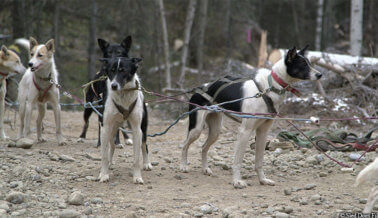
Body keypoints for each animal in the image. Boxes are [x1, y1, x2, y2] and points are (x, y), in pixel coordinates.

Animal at [97, 56, 152, 184]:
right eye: (111, 71)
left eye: (123, 71)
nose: (113, 85)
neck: (123, 96)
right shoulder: (105, 127)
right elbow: (104, 155)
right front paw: (104, 174)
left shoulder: (137, 130)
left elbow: (136, 158)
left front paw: (137, 177)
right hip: (111, 129)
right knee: (111, 146)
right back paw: (109, 164)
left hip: (143, 128)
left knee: (144, 145)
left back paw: (146, 163)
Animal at [179, 45, 320, 187]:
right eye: (303, 64)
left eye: (309, 63)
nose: (320, 74)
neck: (269, 87)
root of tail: (199, 88)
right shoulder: (244, 131)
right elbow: (237, 161)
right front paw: (237, 181)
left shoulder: (263, 132)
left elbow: (259, 161)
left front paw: (263, 180)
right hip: (197, 129)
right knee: (184, 145)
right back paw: (183, 166)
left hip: (215, 131)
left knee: (203, 147)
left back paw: (205, 169)